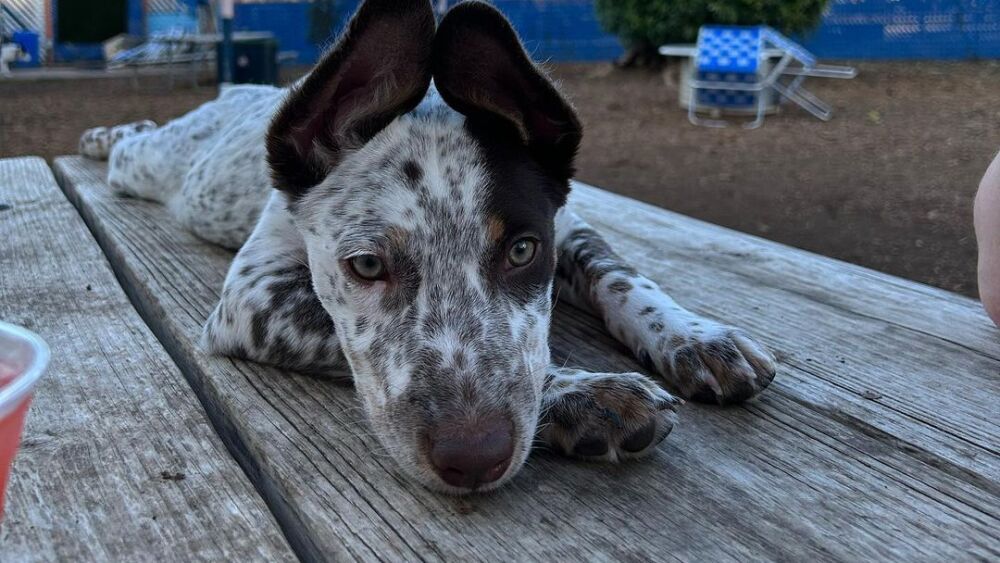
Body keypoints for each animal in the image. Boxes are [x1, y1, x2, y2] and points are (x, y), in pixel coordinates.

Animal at [80, 0, 780, 494]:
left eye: (522, 252)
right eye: (366, 265)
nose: (472, 461)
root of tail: (238, 92)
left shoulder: (567, 227)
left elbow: (621, 276)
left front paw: (694, 336)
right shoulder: (253, 299)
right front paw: (590, 397)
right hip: (157, 166)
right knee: (132, 147)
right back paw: (101, 136)